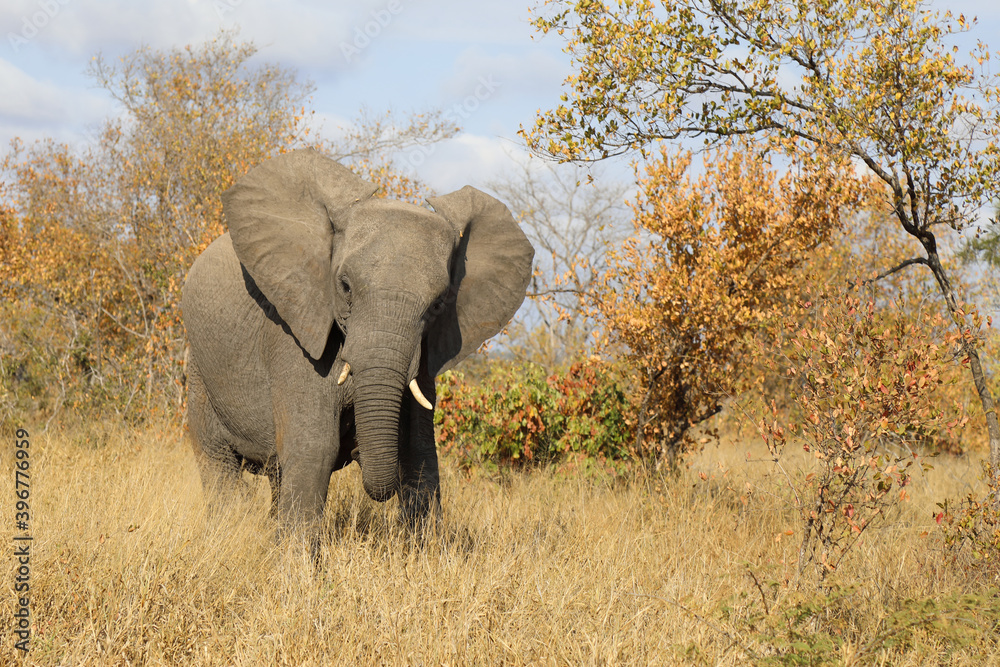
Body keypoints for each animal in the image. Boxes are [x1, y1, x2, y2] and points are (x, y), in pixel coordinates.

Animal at [181, 148, 534, 535]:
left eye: (439, 304)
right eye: (345, 287)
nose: (357, 452)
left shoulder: (424, 355)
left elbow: (419, 451)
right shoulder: (294, 333)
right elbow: (313, 448)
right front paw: (297, 555)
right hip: (199, 373)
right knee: (219, 463)